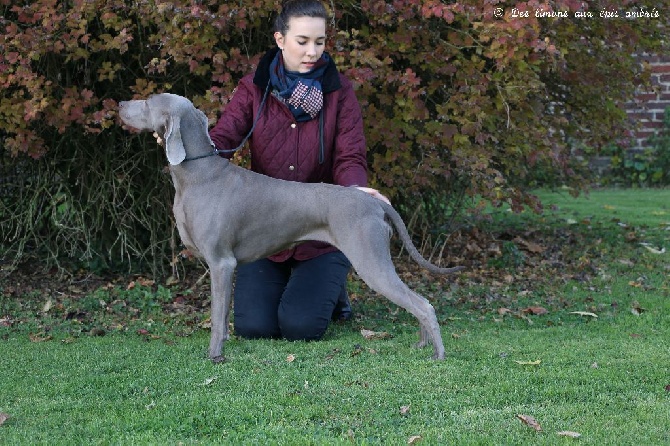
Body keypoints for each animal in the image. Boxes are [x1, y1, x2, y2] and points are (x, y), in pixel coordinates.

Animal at [118, 93, 464, 362]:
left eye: (147, 101)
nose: (120, 103)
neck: (197, 174)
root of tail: (375, 202)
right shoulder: (224, 266)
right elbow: (223, 314)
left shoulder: (221, 262)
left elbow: (217, 317)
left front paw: (215, 355)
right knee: (416, 301)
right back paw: (422, 344)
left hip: (370, 259)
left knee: (423, 303)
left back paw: (438, 354)